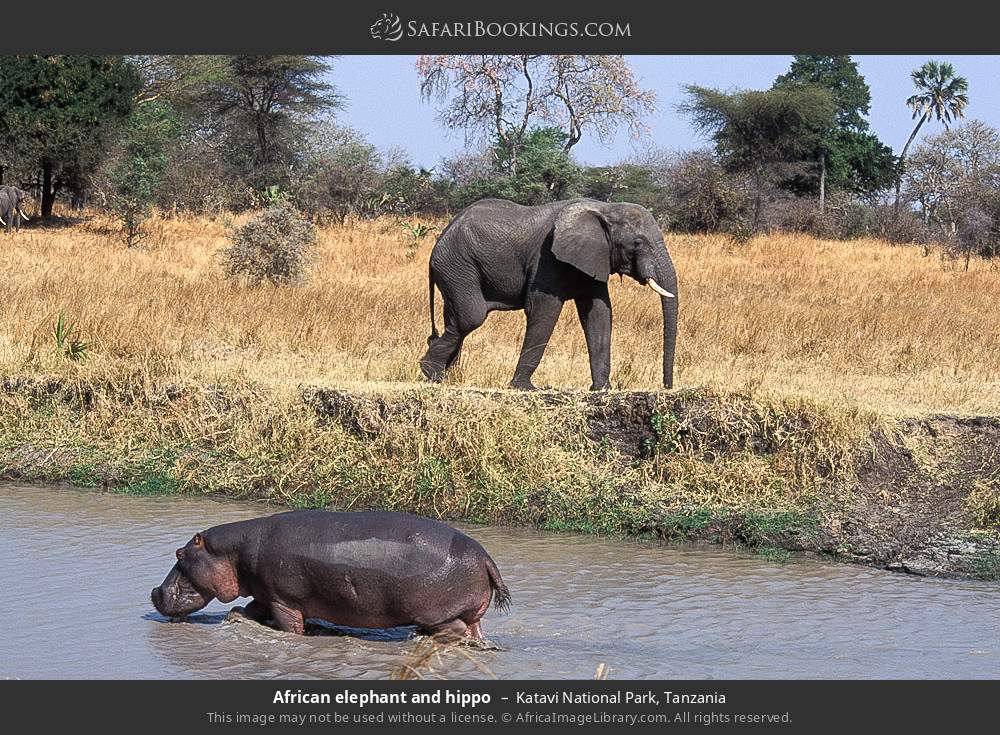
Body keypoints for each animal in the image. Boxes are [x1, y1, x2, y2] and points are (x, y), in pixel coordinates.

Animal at [150, 509, 510, 640]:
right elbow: (251, 607)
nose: (154, 592)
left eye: (180, 554)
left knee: (456, 629)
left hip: (436, 613)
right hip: (470, 612)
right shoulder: (266, 592)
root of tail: (484, 556)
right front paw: (236, 615)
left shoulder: (283, 600)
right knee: (474, 630)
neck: (233, 552)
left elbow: (289, 627)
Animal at [418, 198, 679, 391]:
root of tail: (440, 237)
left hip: (456, 271)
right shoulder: (547, 260)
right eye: (638, 243)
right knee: (470, 317)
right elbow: (544, 311)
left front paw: (602, 390)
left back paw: (446, 377)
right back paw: (431, 373)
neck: (605, 207)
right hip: (458, 266)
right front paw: (524, 388)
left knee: (454, 318)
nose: (666, 386)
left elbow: (599, 313)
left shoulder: (593, 258)